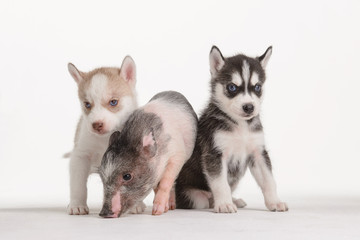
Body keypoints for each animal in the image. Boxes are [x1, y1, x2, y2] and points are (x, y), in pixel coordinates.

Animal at [66, 56, 138, 216]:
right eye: (87, 104)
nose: (97, 124)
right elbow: (78, 184)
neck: (105, 138)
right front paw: (77, 204)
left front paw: (136, 205)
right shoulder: (80, 157)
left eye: (113, 102)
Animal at [176, 46, 288, 213]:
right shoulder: (214, 154)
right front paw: (224, 204)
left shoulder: (258, 153)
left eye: (257, 87)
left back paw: (235, 200)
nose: (249, 107)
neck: (240, 126)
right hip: (194, 197)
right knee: (205, 200)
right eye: (232, 87)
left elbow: (269, 181)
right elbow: (221, 184)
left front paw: (275, 202)